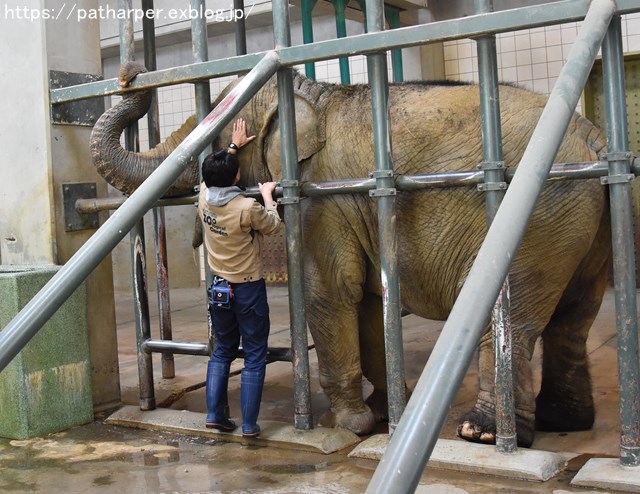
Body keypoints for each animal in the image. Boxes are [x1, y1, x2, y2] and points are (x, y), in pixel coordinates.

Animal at [91, 61, 608, 448]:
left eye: (216, 140)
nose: (129, 73)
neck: (310, 94)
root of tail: (592, 136)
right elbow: (364, 301)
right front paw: (382, 413)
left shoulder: (324, 198)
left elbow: (329, 292)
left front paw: (350, 426)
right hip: (575, 219)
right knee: (574, 317)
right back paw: (564, 422)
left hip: (540, 212)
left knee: (512, 319)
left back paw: (481, 434)